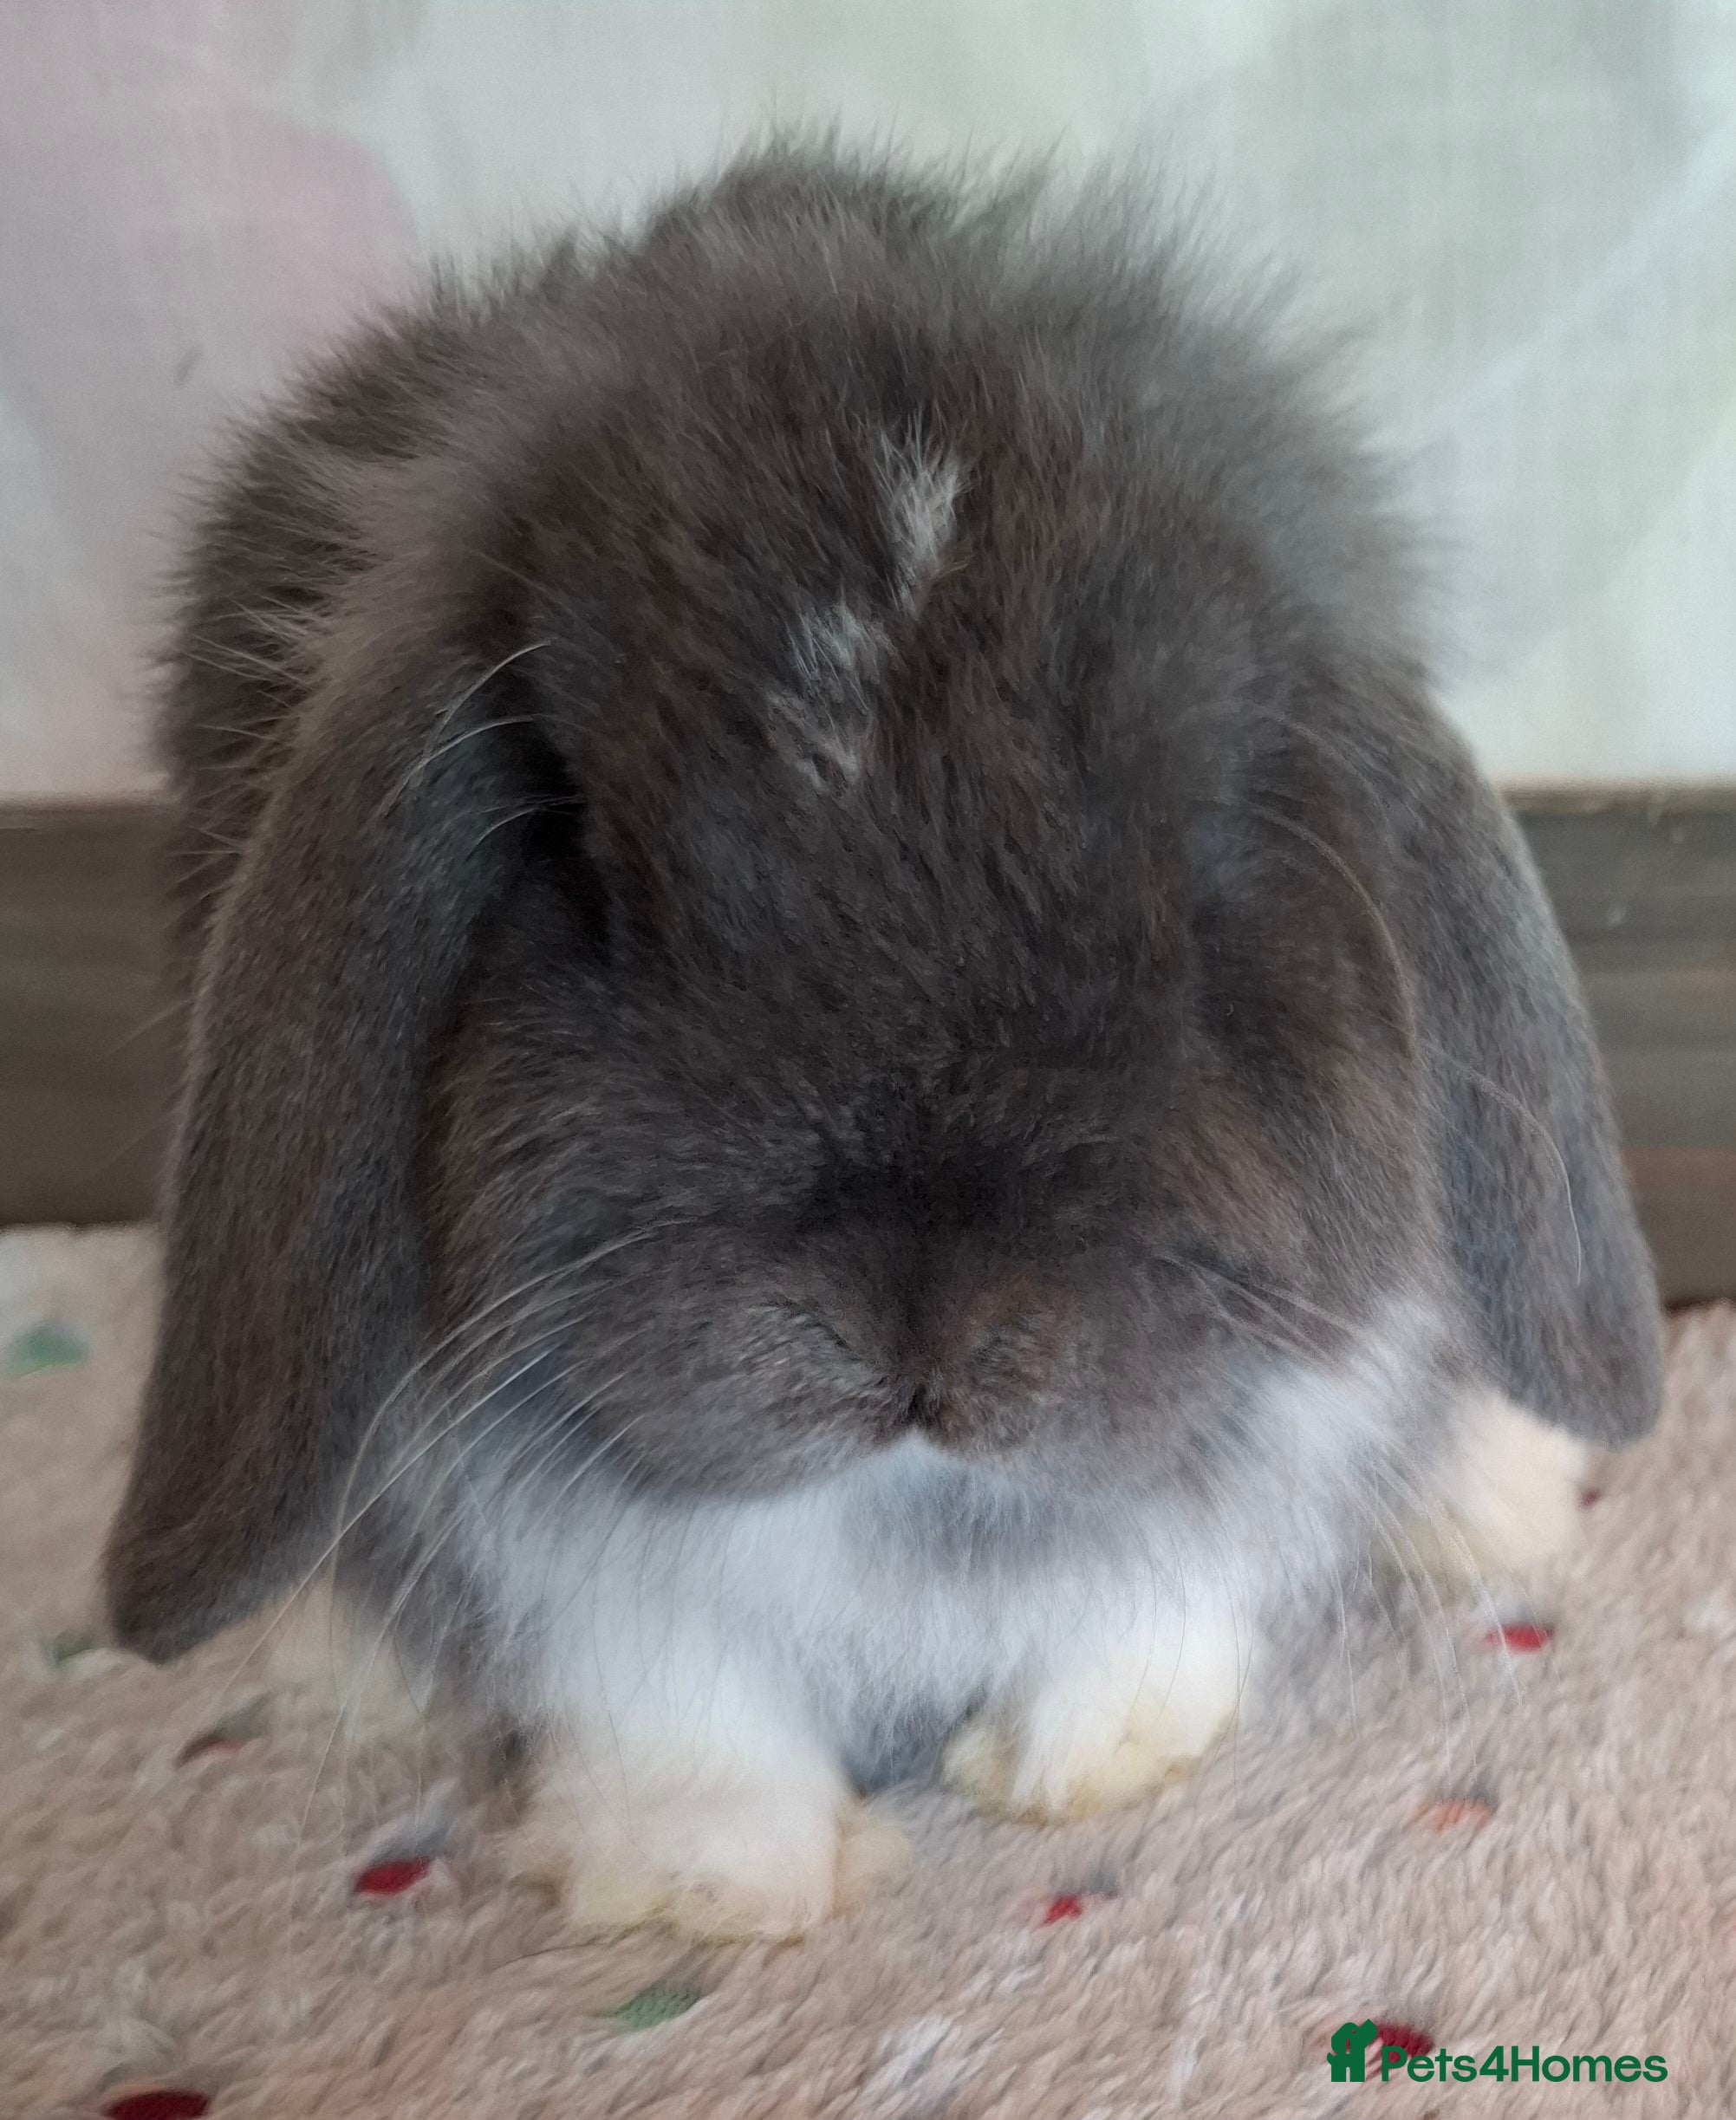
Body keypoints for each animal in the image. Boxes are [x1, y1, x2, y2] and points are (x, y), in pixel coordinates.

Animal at [103, 144, 1662, 1941]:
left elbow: (1159, 1600)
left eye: (1203, 853)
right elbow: (655, 1689)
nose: (918, 1329)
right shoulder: (556, 1564)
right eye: (577, 850)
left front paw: (1090, 1762)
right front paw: (712, 1883)